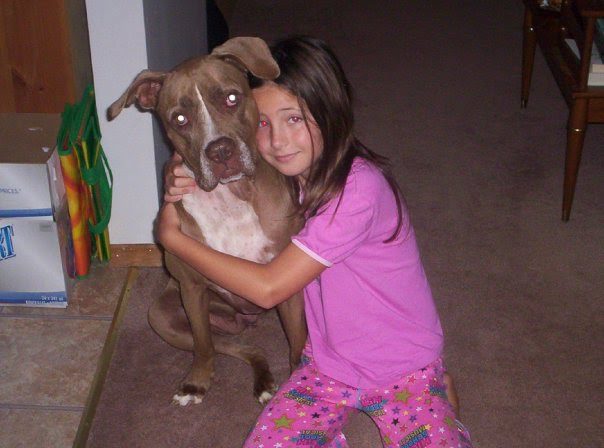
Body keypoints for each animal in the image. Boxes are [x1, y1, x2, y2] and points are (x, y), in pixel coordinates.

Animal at [107, 36, 306, 406]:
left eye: (232, 98)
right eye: (180, 118)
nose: (220, 151)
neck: (231, 197)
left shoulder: (289, 289)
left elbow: (298, 342)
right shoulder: (192, 289)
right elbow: (203, 345)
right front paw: (197, 382)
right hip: (163, 315)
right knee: (237, 346)